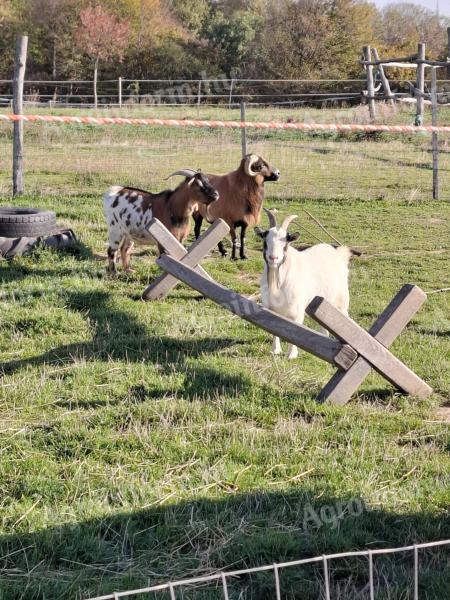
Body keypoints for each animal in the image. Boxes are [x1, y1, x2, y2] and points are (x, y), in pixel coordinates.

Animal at [256, 210, 352, 358]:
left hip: (341, 299)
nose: (273, 258)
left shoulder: (297, 309)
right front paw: (275, 350)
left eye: (285, 244)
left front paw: (291, 355)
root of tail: (339, 254)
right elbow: (274, 330)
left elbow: (295, 330)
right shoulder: (270, 308)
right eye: (265, 241)